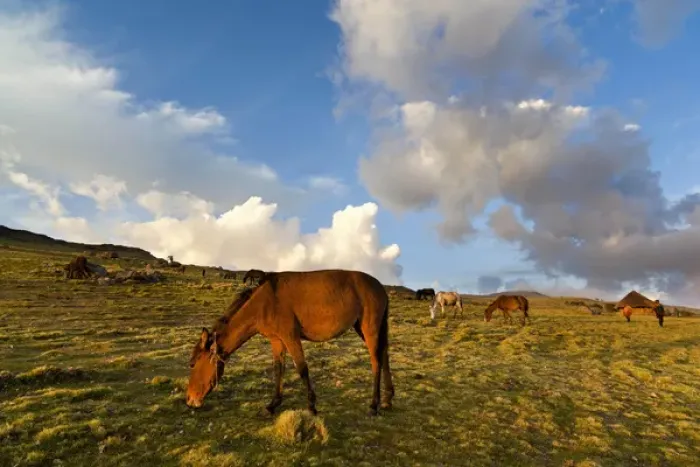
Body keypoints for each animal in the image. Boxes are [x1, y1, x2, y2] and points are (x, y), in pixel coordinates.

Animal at [186, 269, 394, 416]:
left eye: (193, 364)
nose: (189, 399)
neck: (264, 302)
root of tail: (380, 287)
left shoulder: (290, 337)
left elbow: (302, 368)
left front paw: (311, 406)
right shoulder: (277, 340)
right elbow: (278, 369)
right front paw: (272, 405)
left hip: (369, 328)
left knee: (376, 361)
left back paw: (374, 405)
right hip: (365, 328)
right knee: (384, 354)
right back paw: (387, 399)